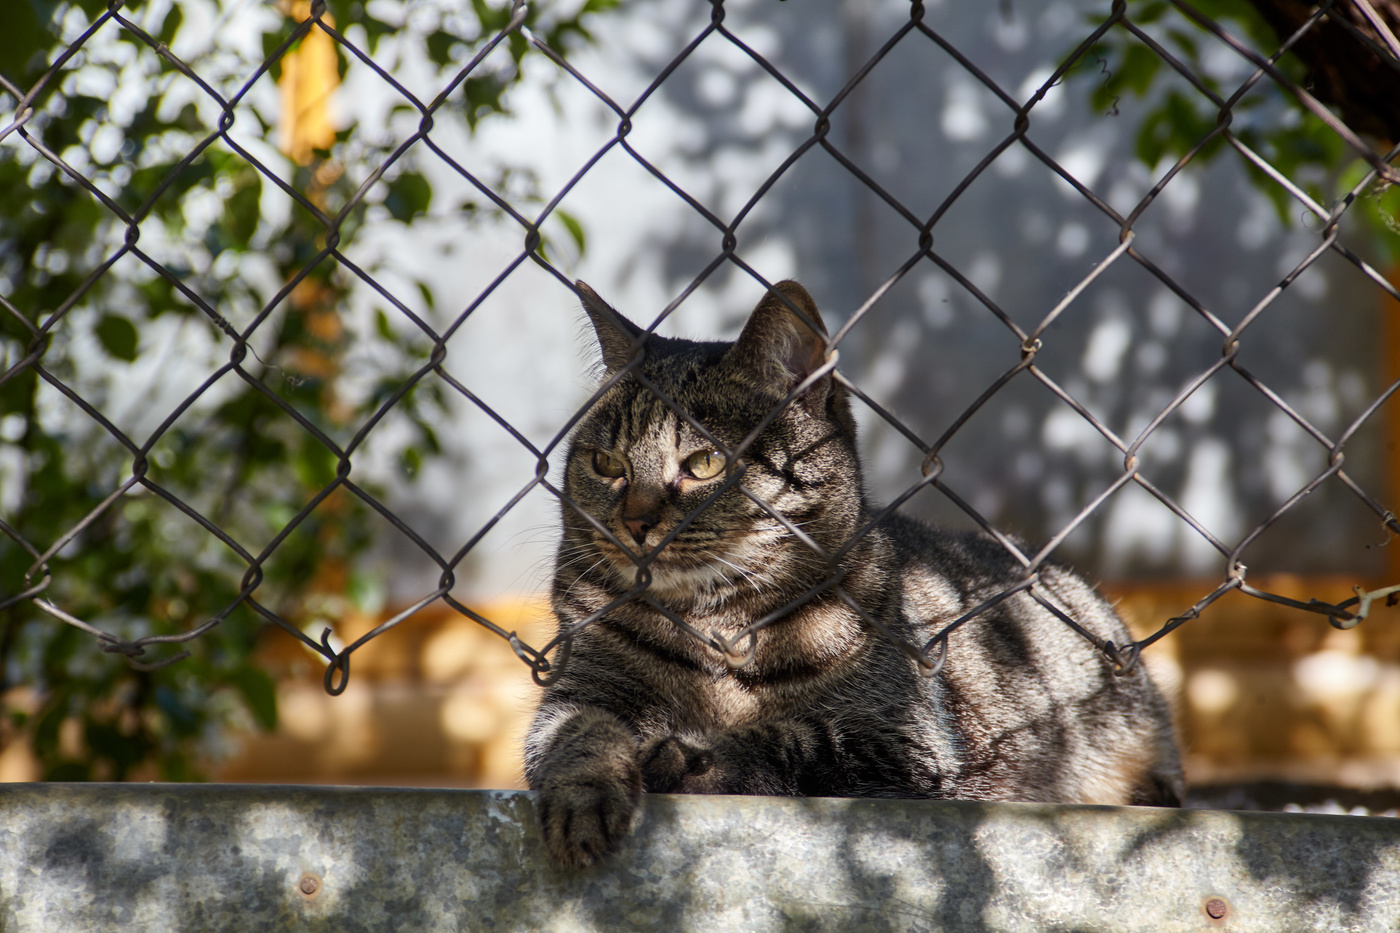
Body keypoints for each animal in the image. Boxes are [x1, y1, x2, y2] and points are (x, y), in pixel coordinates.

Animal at [526, 275, 1181, 862]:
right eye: (606, 463)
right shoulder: (582, 688)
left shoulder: (898, 744)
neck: (718, 626)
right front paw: (584, 794)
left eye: (705, 462)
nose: (634, 522)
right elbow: (575, 733)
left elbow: (790, 740)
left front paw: (688, 756)